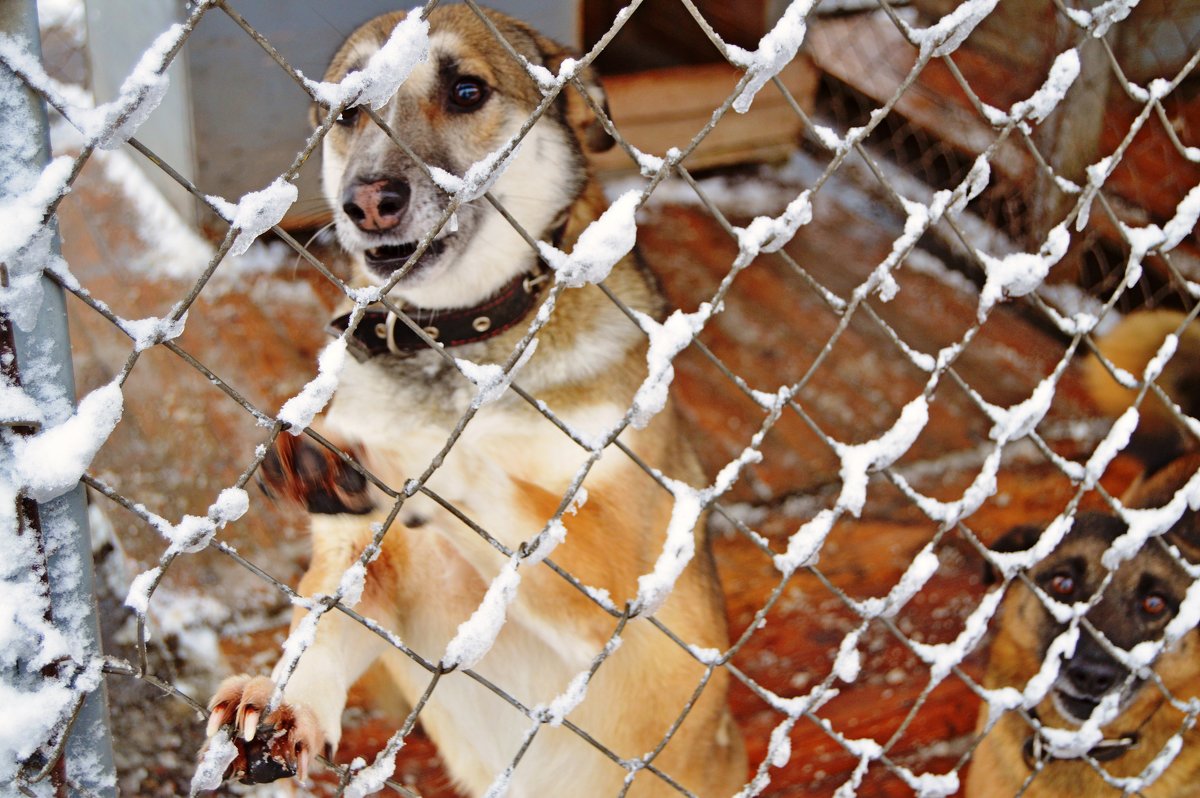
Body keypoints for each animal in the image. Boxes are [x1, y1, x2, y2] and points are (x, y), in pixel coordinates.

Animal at [207, 6, 748, 796]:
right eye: (348, 111)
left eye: (466, 91)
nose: (368, 202)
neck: (457, 342)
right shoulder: (371, 562)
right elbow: (328, 621)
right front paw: (281, 701)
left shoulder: (617, 584)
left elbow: (480, 480)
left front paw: (387, 454)